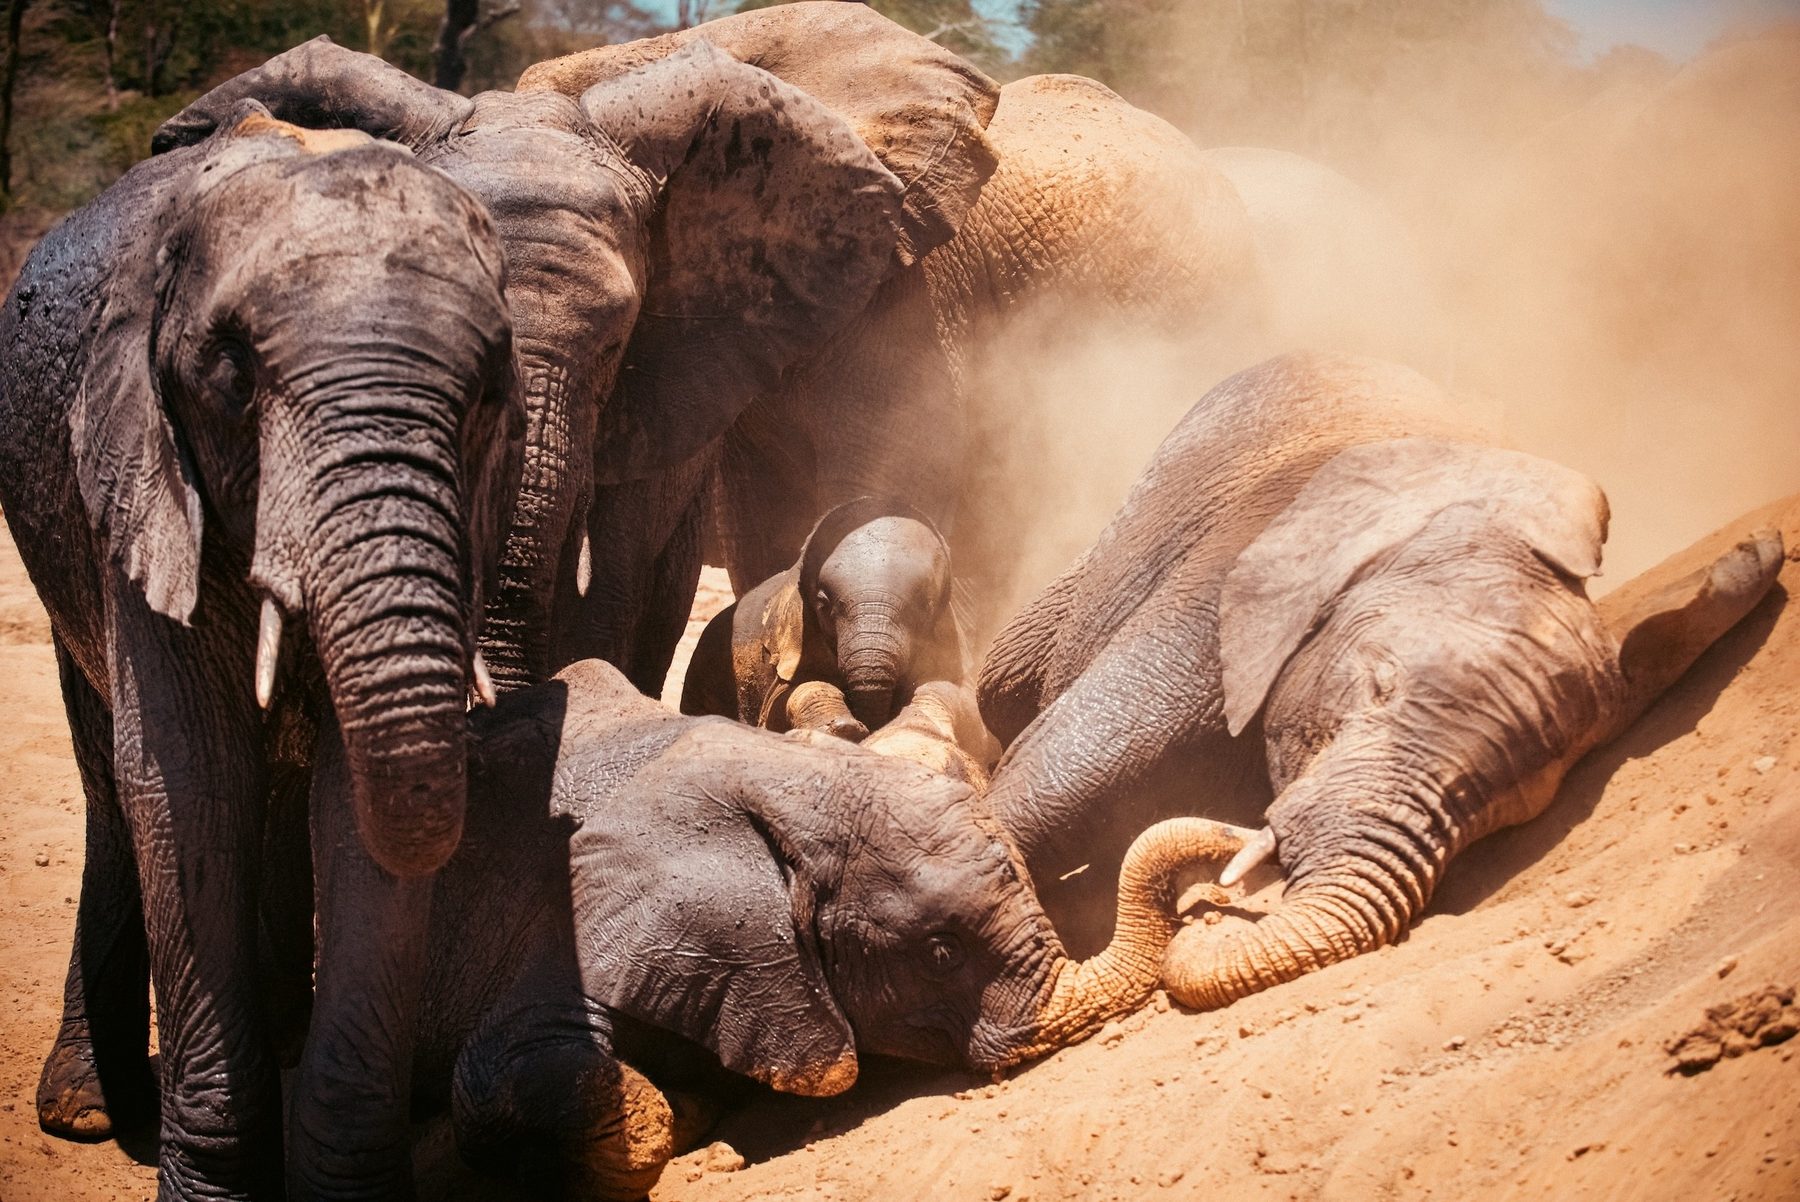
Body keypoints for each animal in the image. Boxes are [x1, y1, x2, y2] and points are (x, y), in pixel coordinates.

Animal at [0, 107, 520, 1198]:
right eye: (234, 377)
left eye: (490, 390)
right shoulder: (141, 477)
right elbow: (186, 784)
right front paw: (212, 1183)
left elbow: (346, 797)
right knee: (109, 786)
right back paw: (84, 1107)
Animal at [406, 657, 1242, 1199]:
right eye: (941, 953)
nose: (1235, 845)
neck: (785, 783)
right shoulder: (572, 920)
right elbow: (496, 1074)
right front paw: (694, 1110)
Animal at [976, 352, 1784, 1000]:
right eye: (1378, 686)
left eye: (1507, 809)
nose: (1209, 891)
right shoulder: (1215, 605)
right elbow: (1037, 796)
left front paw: (1754, 557)